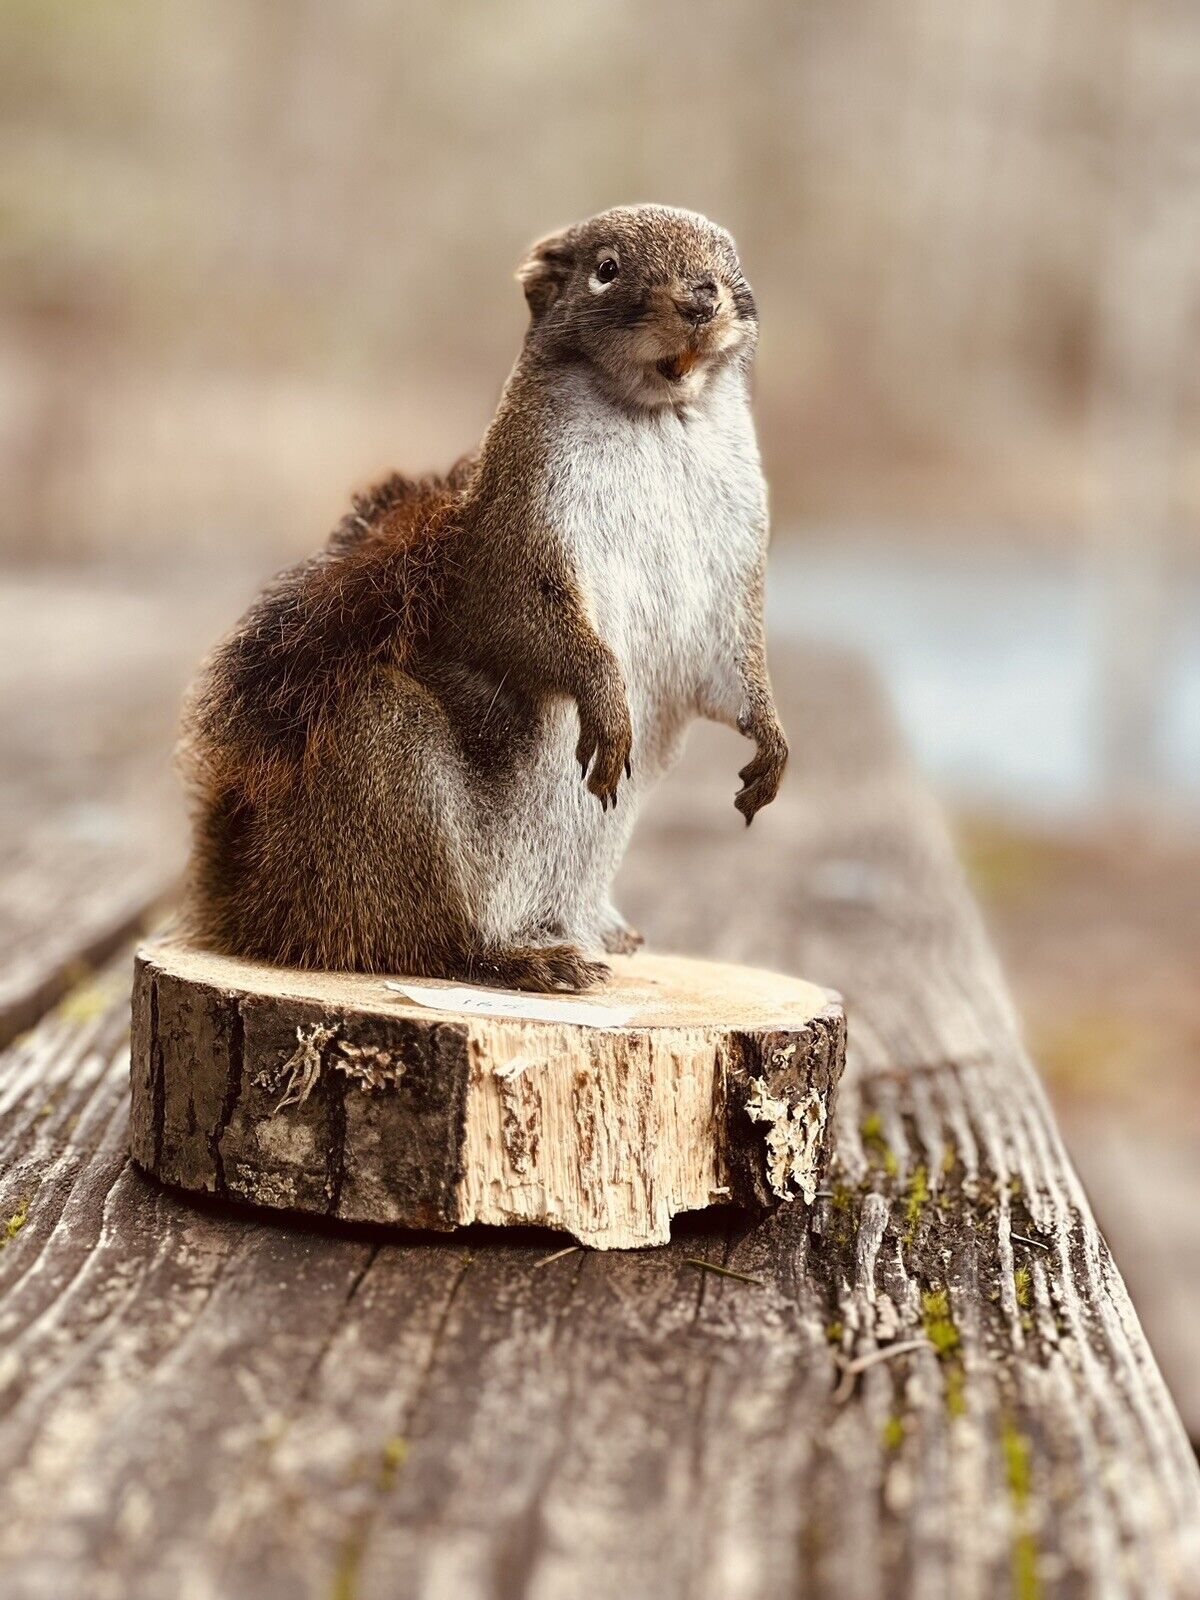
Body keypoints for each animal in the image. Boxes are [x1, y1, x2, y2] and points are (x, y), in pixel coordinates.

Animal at [180, 204, 788, 993]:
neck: (657, 418)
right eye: (607, 269)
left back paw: (595, 935)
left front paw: (772, 739)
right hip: (385, 763)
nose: (701, 299)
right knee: (429, 941)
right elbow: (523, 625)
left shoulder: (730, 580)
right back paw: (521, 957)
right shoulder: (509, 547)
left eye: (730, 260)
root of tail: (265, 902)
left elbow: (731, 670)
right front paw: (607, 700)